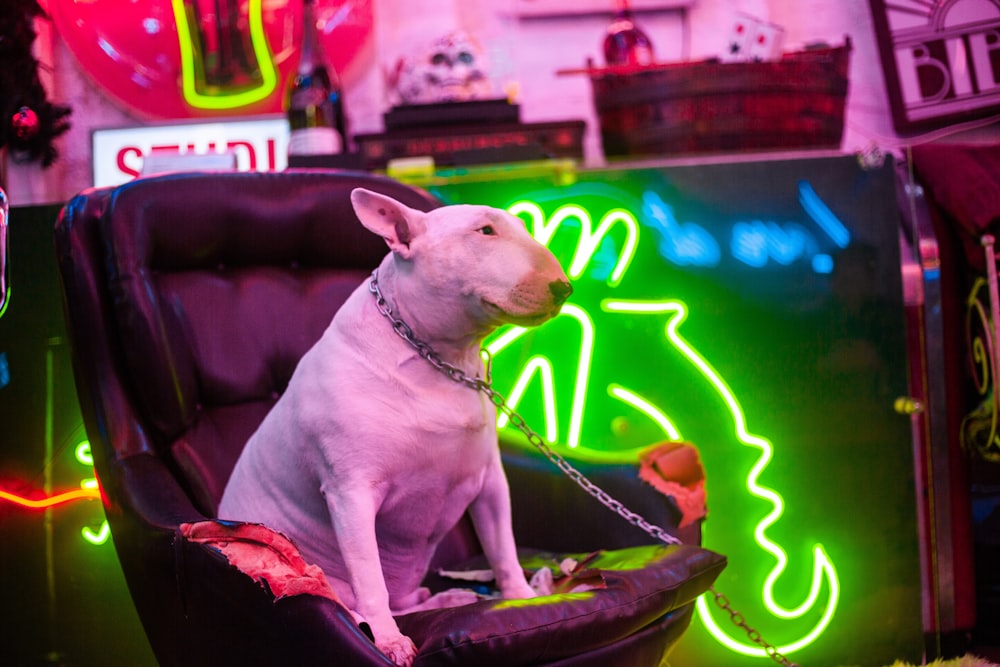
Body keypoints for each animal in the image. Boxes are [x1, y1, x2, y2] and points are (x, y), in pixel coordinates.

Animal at [221, 189, 572, 667]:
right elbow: (370, 575)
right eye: (485, 230)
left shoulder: (490, 480)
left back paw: (448, 599)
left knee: (406, 600)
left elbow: (503, 545)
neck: (437, 357)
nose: (564, 288)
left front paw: (522, 596)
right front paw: (389, 642)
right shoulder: (350, 491)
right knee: (358, 602)